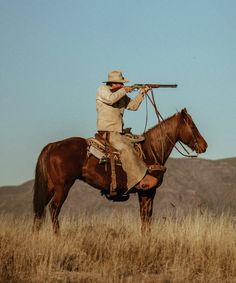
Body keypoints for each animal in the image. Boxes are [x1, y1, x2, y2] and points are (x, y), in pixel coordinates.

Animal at [32, 107, 206, 234]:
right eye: (192, 126)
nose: (204, 145)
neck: (151, 150)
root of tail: (52, 146)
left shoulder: (144, 192)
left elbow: (145, 217)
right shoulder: (148, 191)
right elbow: (146, 217)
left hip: (50, 187)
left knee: (39, 210)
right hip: (63, 186)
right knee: (54, 209)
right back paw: (57, 236)